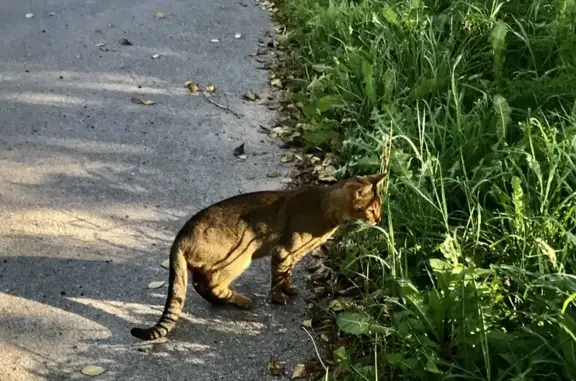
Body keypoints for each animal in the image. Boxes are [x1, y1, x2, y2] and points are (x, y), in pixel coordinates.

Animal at [128, 174, 384, 340]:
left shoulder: (292, 255)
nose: (379, 219)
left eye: (379, 209)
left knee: (200, 284)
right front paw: (279, 298)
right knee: (212, 285)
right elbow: (278, 277)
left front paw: (289, 290)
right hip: (239, 257)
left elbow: (287, 274)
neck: (325, 205)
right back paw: (241, 301)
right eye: (372, 209)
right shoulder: (284, 251)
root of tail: (180, 235)